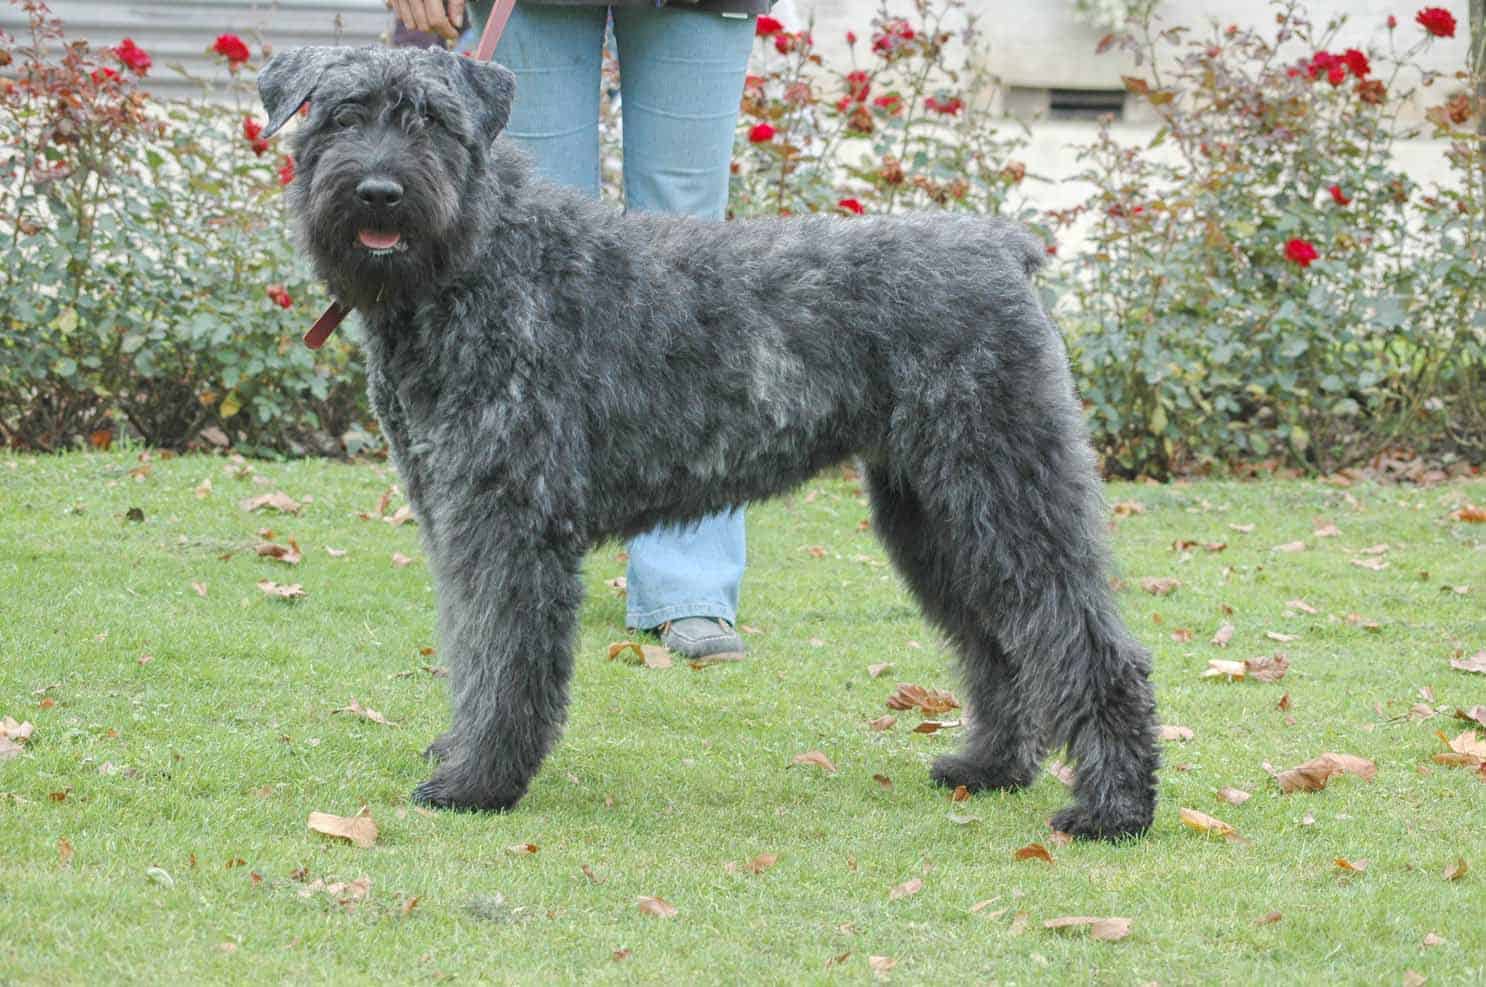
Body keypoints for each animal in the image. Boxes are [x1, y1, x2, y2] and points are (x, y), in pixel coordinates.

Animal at [255, 44, 1159, 832]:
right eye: (340, 115)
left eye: (433, 121)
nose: (379, 191)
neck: (480, 262)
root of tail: (1004, 249)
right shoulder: (457, 520)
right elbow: (470, 646)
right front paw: (461, 751)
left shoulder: (507, 526)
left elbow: (503, 657)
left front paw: (477, 780)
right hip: (936, 519)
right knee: (1000, 642)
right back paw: (990, 766)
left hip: (1008, 492)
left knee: (1089, 642)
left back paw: (1113, 809)